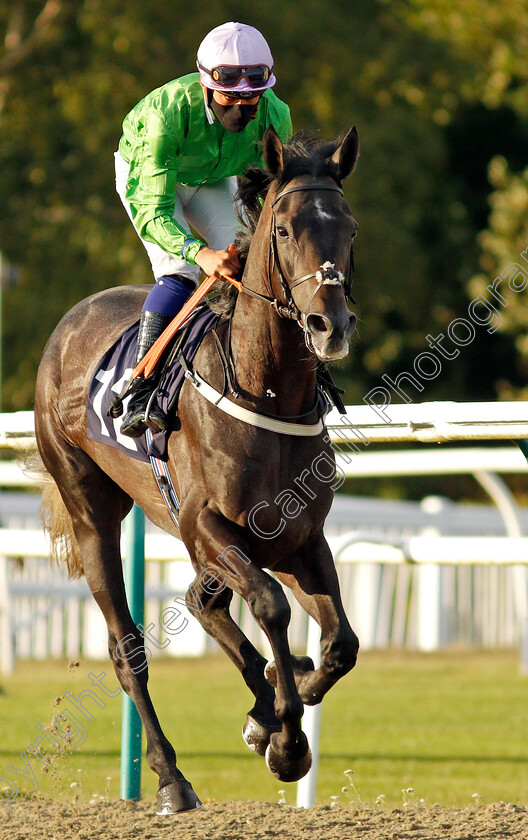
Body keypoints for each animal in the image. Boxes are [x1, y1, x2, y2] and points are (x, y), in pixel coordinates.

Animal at [35, 126, 360, 812]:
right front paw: (287, 740)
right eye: (284, 228)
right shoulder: (207, 523)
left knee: (201, 601)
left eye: (349, 227)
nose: (331, 325)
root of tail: (70, 321)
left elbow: (340, 644)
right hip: (92, 510)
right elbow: (269, 606)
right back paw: (172, 779)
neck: (266, 390)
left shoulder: (299, 535)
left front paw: (282, 704)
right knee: (126, 646)